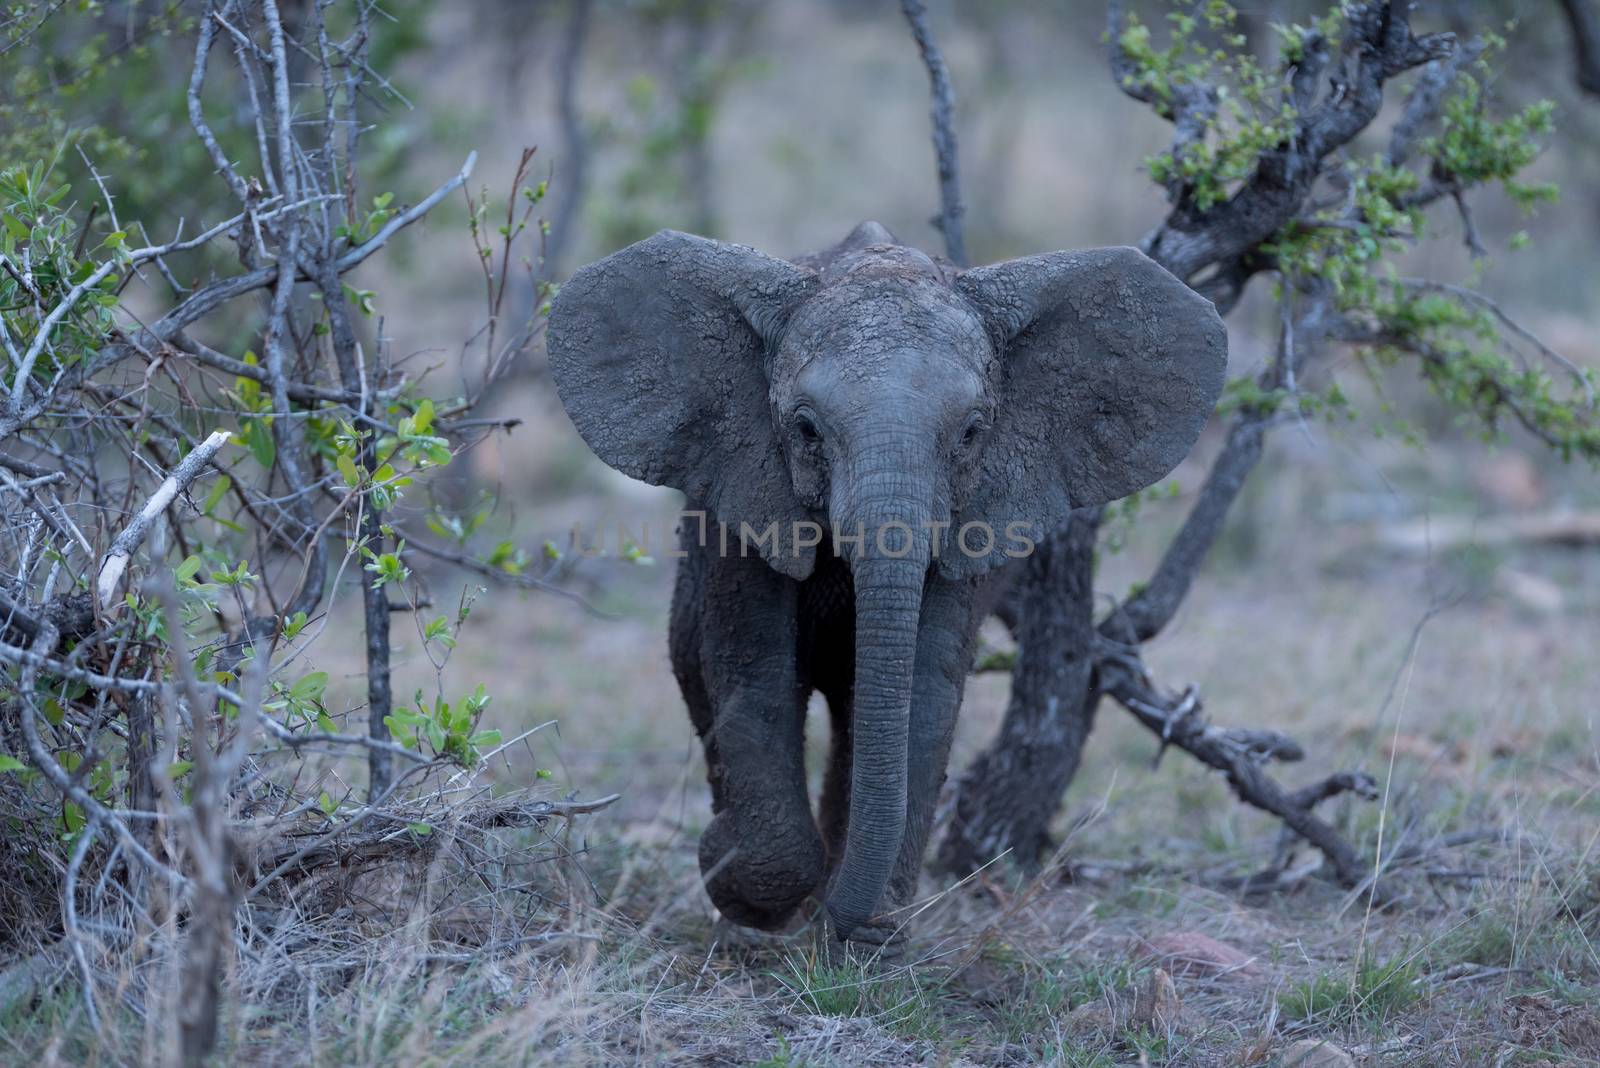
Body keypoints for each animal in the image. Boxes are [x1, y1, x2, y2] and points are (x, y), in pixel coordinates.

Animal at [550, 220, 1222, 946]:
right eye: (805, 429)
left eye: (972, 432)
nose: (858, 925)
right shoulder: (747, 494)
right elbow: (752, 670)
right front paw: (741, 886)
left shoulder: (974, 516)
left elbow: (926, 686)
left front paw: (867, 939)